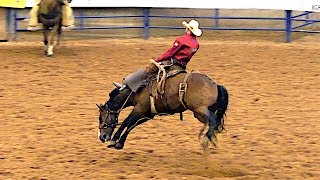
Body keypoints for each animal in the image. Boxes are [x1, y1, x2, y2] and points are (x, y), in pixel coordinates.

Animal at [96, 62, 229, 150]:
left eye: (100, 118)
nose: (102, 136)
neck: (137, 90)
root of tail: (216, 85)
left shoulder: (139, 109)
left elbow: (126, 122)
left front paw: (113, 140)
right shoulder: (147, 114)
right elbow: (132, 125)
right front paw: (120, 143)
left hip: (200, 109)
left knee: (214, 121)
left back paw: (206, 139)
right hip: (202, 113)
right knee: (215, 123)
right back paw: (210, 137)